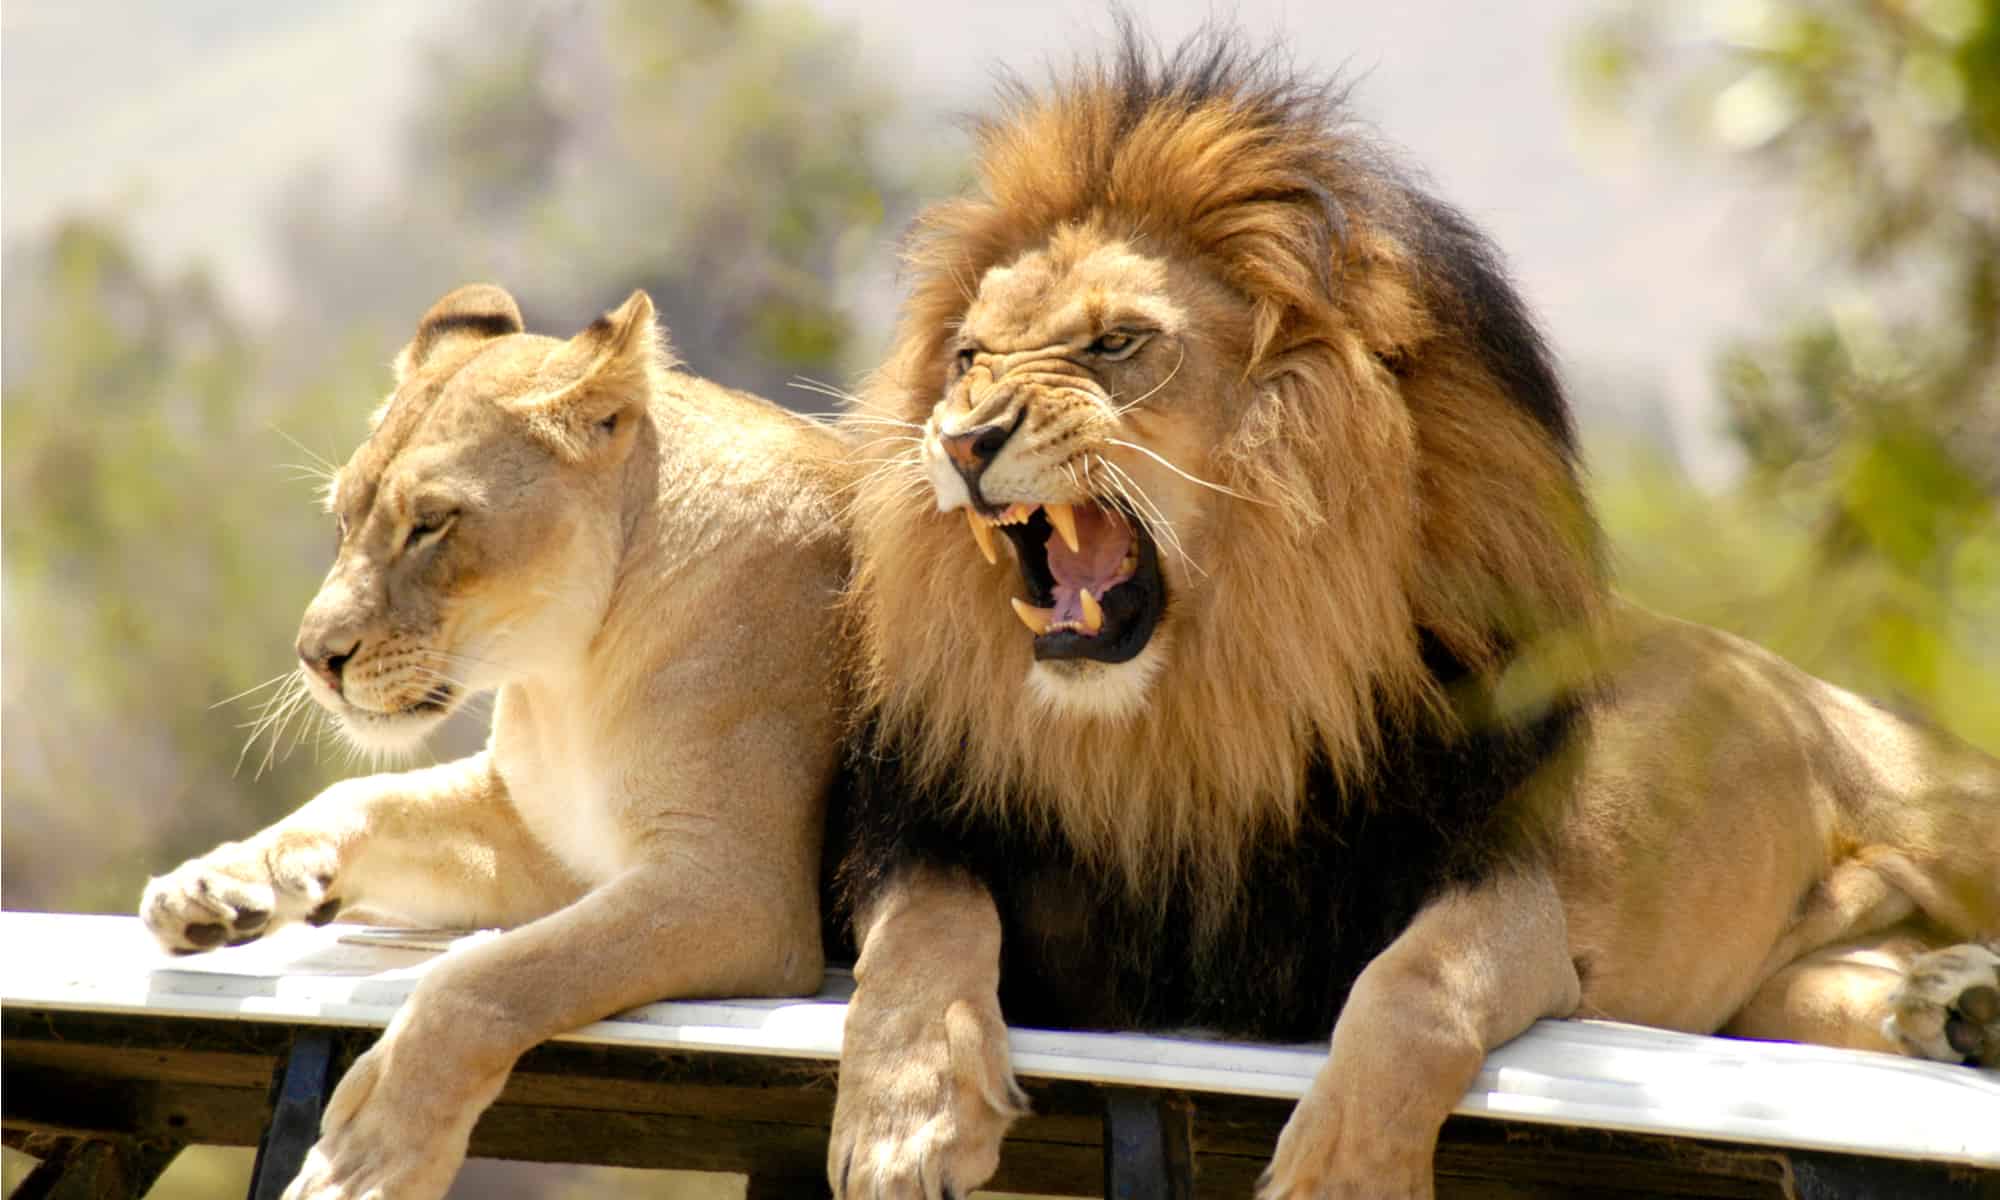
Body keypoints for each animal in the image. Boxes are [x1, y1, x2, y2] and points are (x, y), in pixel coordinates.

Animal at [139, 284, 851, 1200]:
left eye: (432, 523)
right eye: (344, 518)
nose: (315, 658)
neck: (571, 674)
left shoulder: (740, 892)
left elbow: (489, 976)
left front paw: (368, 1158)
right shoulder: (547, 841)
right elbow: (366, 795)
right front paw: (219, 883)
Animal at [825, 31, 2000, 1198]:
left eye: (1116, 343)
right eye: (967, 356)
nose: (963, 439)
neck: (1184, 724)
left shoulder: (1500, 884)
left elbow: (1413, 991)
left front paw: (1339, 1174)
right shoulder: (929, 834)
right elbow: (919, 931)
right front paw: (905, 1119)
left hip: (1937, 814)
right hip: (1785, 977)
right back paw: (1951, 1006)